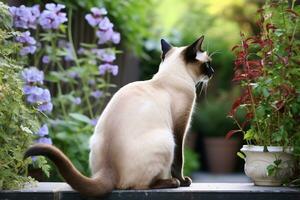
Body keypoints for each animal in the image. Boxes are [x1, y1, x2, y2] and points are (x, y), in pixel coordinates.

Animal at [25, 36, 213, 197]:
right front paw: (184, 181)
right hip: (167, 140)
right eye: (208, 64)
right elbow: (179, 161)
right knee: (141, 186)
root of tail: (109, 169)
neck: (169, 76)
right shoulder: (180, 129)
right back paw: (172, 182)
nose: (212, 72)